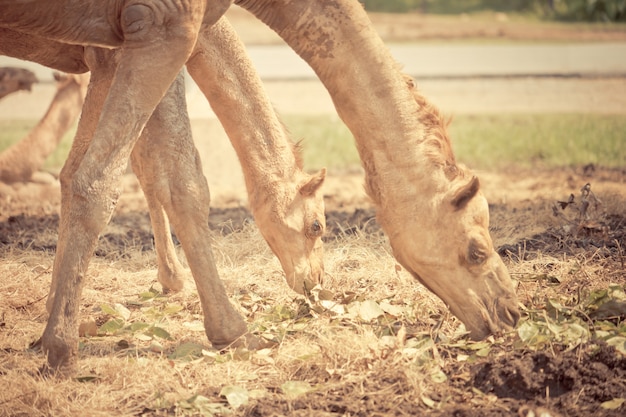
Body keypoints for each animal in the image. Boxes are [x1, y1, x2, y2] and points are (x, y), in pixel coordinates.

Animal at [0, 0, 516, 370]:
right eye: (476, 250)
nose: (508, 312)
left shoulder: (111, 50)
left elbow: (85, 173)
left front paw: (48, 329)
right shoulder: (163, 27)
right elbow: (168, 181)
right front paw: (231, 329)